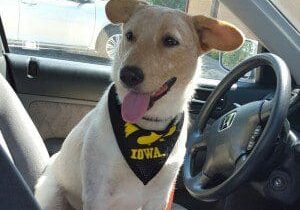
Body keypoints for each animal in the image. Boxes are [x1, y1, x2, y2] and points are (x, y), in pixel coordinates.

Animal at [34, 0, 244, 209]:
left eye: (170, 41)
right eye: (129, 35)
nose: (128, 75)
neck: (149, 126)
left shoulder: (160, 197)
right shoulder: (97, 195)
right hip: (52, 194)